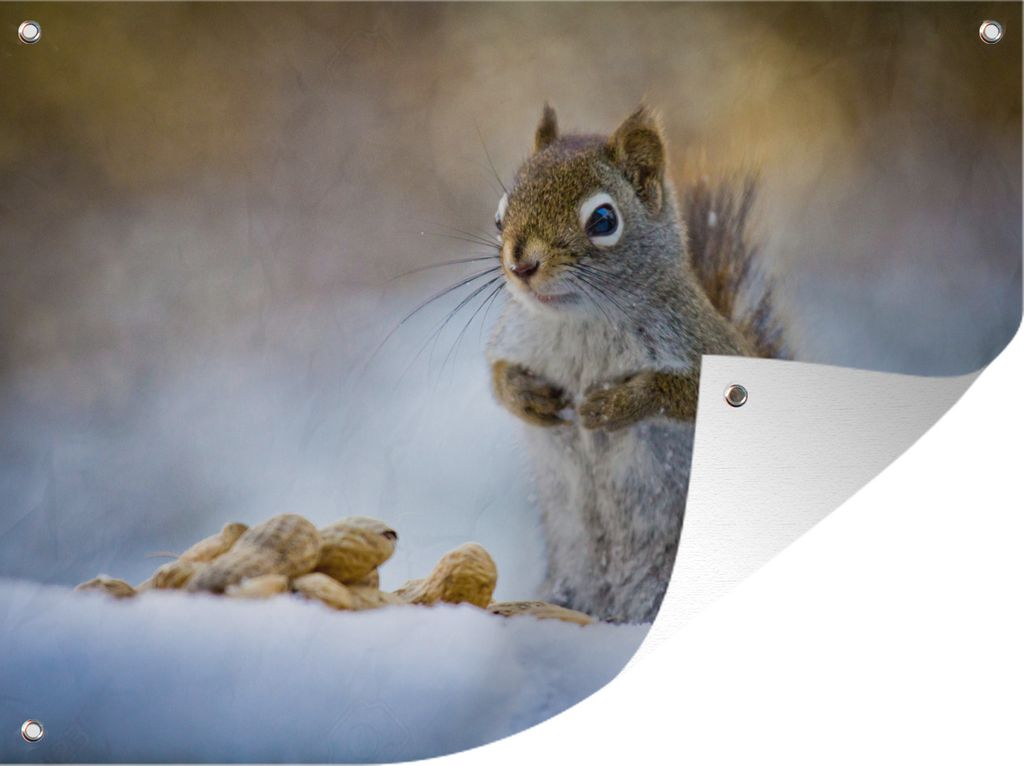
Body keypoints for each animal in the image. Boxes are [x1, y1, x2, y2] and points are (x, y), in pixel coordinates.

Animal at [486, 105, 788, 624]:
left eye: (604, 219)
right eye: (500, 215)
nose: (520, 266)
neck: (582, 323)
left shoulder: (704, 343)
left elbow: (681, 393)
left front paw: (614, 405)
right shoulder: (512, 337)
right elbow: (495, 376)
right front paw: (529, 398)